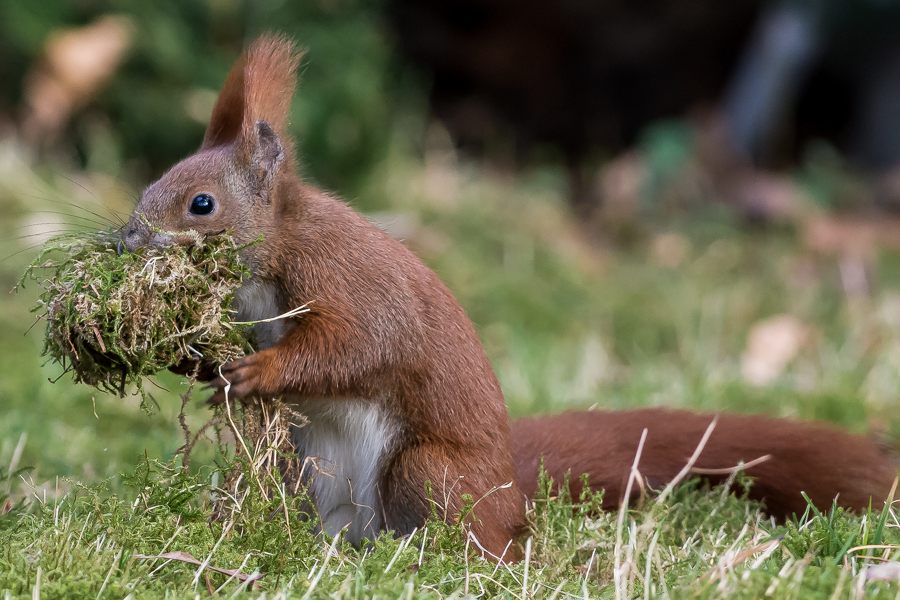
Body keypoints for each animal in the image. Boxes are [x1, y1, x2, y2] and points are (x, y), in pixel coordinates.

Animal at [121, 32, 900, 556]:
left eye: (200, 203)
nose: (127, 241)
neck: (272, 253)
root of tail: (509, 497)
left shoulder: (344, 276)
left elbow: (356, 343)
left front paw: (261, 371)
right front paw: (199, 364)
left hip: (428, 472)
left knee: (475, 541)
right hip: (300, 469)